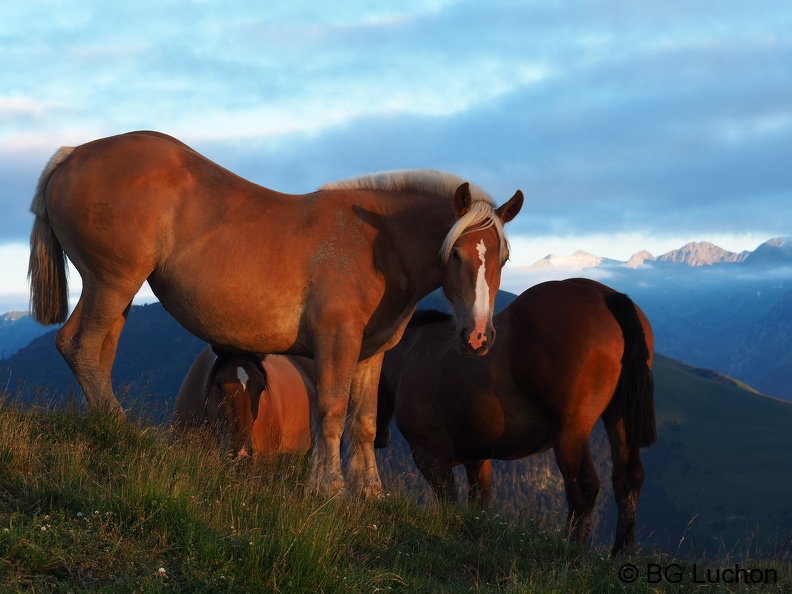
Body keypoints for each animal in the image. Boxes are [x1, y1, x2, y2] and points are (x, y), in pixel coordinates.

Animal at [378, 278, 656, 552]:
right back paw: (620, 553)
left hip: (571, 432)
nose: (380, 439)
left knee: (584, 487)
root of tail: (607, 297)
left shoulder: (431, 457)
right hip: (618, 419)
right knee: (627, 481)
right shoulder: (477, 460)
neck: (411, 354)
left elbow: (450, 503)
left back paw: (571, 549)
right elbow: (480, 505)